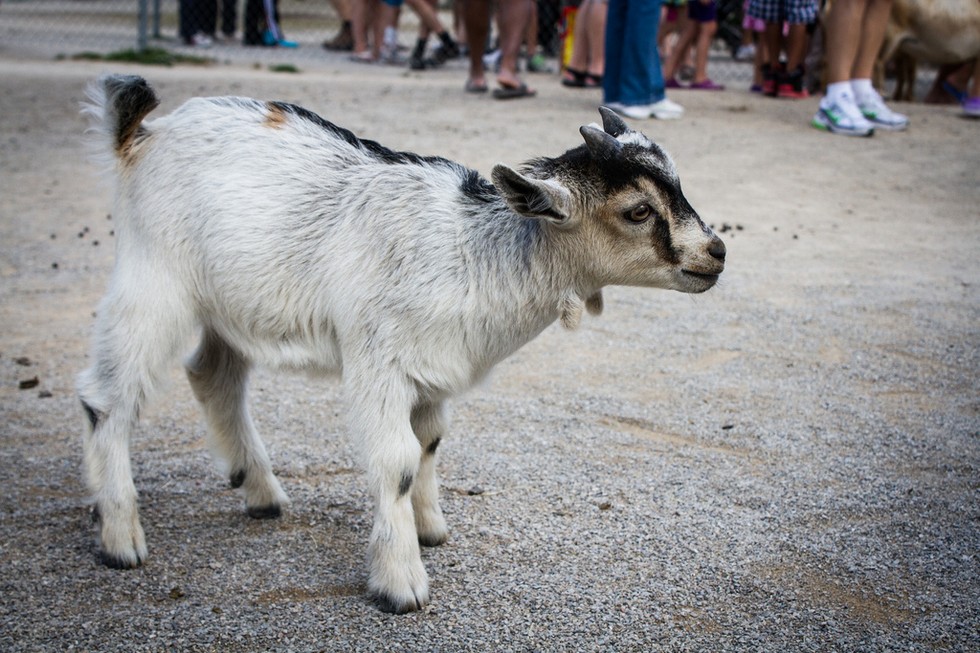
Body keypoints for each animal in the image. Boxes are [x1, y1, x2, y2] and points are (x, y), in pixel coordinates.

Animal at [80, 74, 724, 612]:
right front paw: (401, 583)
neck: (476, 253)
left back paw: (260, 493)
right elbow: (396, 462)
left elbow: (430, 443)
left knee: (214, 374)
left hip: (230, 304)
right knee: (105, 397)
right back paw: (121, 538)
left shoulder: (432, 370)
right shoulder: (378, 363)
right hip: (155, 279)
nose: (715, 253)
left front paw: (430, 529)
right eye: (637, 211)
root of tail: (141, 134)